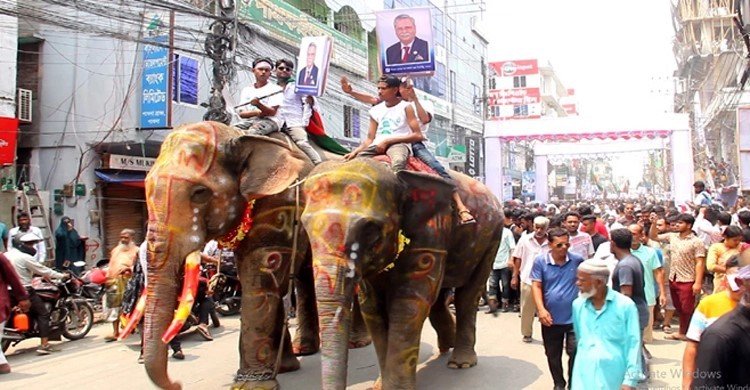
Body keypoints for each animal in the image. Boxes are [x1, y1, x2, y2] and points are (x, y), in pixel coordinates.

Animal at [144, 120, 324, 388]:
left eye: (200, 192)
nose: (177, 383)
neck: (240, 135)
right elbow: (267, 282)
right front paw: (283, 369)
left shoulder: (281, 207)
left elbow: (261, 276)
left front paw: (252, 385)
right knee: (305, 276)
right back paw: (306, 349)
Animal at [302, 158, 506, 390]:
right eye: (304, 226)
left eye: (370, 230)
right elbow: (372, 308)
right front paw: (379, 386)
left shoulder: (431, 231)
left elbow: (408, 304)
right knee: (438, 298)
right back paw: (447, 345)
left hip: (492, 238)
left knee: (468, 295)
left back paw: (460, 363)